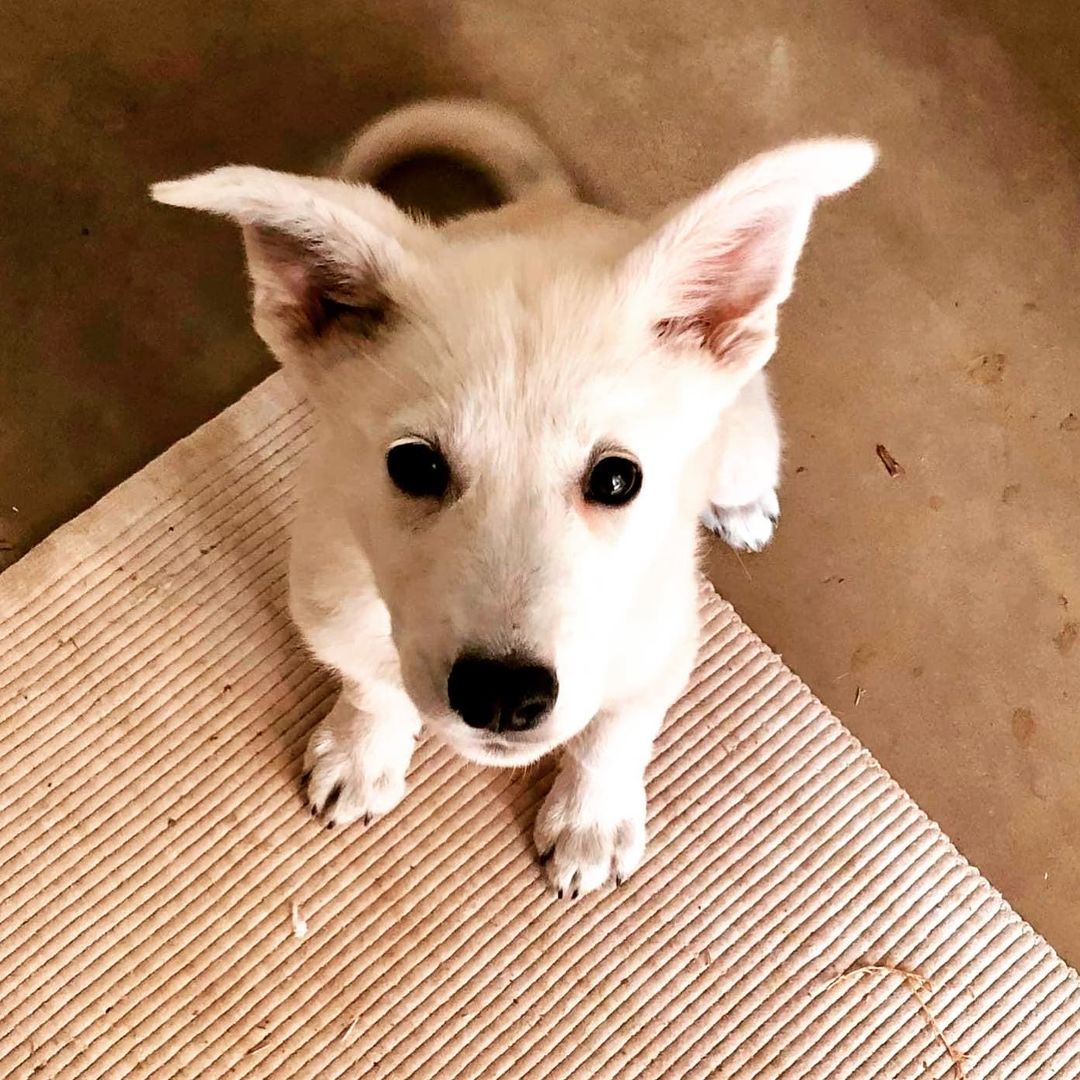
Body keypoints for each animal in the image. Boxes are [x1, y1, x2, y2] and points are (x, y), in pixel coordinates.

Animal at [154, 99, 876, 894]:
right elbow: (372, 682)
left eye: (617, 478)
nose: (502, 696)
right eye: (414, 466)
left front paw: (591, 822)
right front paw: (362, 751)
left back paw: (742, 511)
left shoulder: (662, 644)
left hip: (744, 438)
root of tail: (550, 201)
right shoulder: (331, 604)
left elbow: (615, 732)